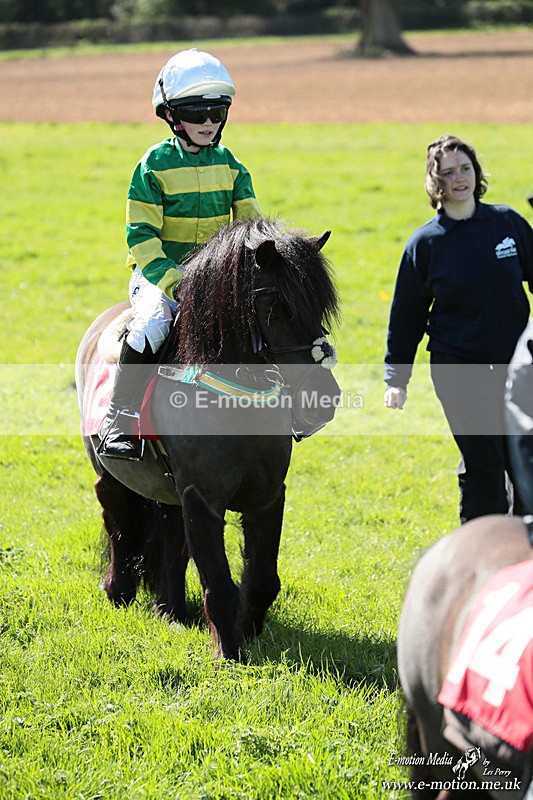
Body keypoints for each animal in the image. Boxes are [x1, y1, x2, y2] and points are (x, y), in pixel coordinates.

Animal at [76, 217, 340, 661]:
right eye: (275, 308)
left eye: (321, 306)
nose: (325, 399)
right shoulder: (202, 497)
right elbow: (219, 584)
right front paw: (229, 655)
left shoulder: (266, 495)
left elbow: (263, 580)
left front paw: (248, 632)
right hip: (109, 473)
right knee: (119, 521)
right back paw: (118, 591)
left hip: (166, 488)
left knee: (168, 534)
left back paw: (171, 610)